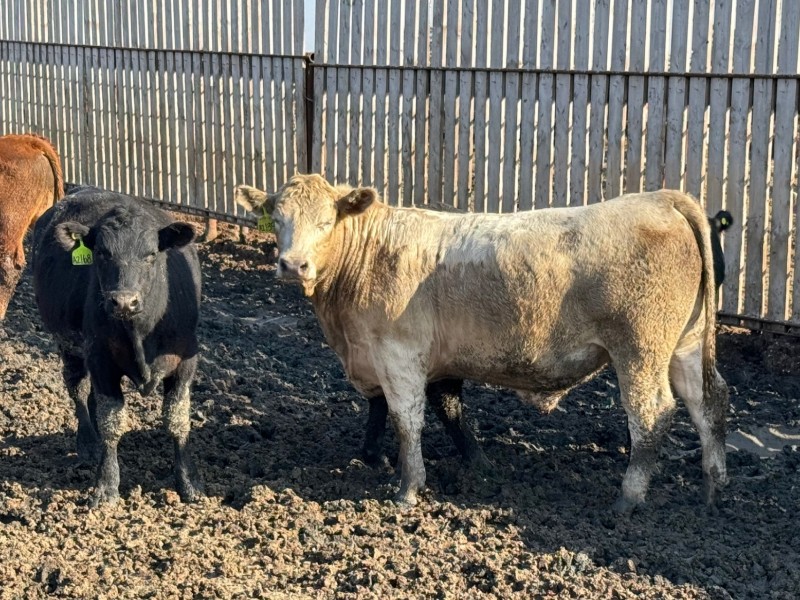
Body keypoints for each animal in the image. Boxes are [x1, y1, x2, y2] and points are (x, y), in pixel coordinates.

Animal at [32, 190, 203, 506]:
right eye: (102, 253)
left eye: (151, 254)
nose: (123, 301)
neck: (141, 334)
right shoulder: (101, 359)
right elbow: (112, 422)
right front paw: (106, 486)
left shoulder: (186, 360)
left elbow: (177, 419)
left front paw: (189, 482)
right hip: (69, 345)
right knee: (78, 389)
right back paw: (88, 442)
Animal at [234, 174, 729, 515]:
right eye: (277, 221)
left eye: (325, 221)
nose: (292, 265)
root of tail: (660, 197)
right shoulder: (408, 357)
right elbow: (434, 411)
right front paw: (383, 458)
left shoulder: (399, 355)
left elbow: (406, 419)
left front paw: (408, 487)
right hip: (684, 345)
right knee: (708, 402)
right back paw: (712, 486)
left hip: (640, 350)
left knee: (651, 413)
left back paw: (628, 498)